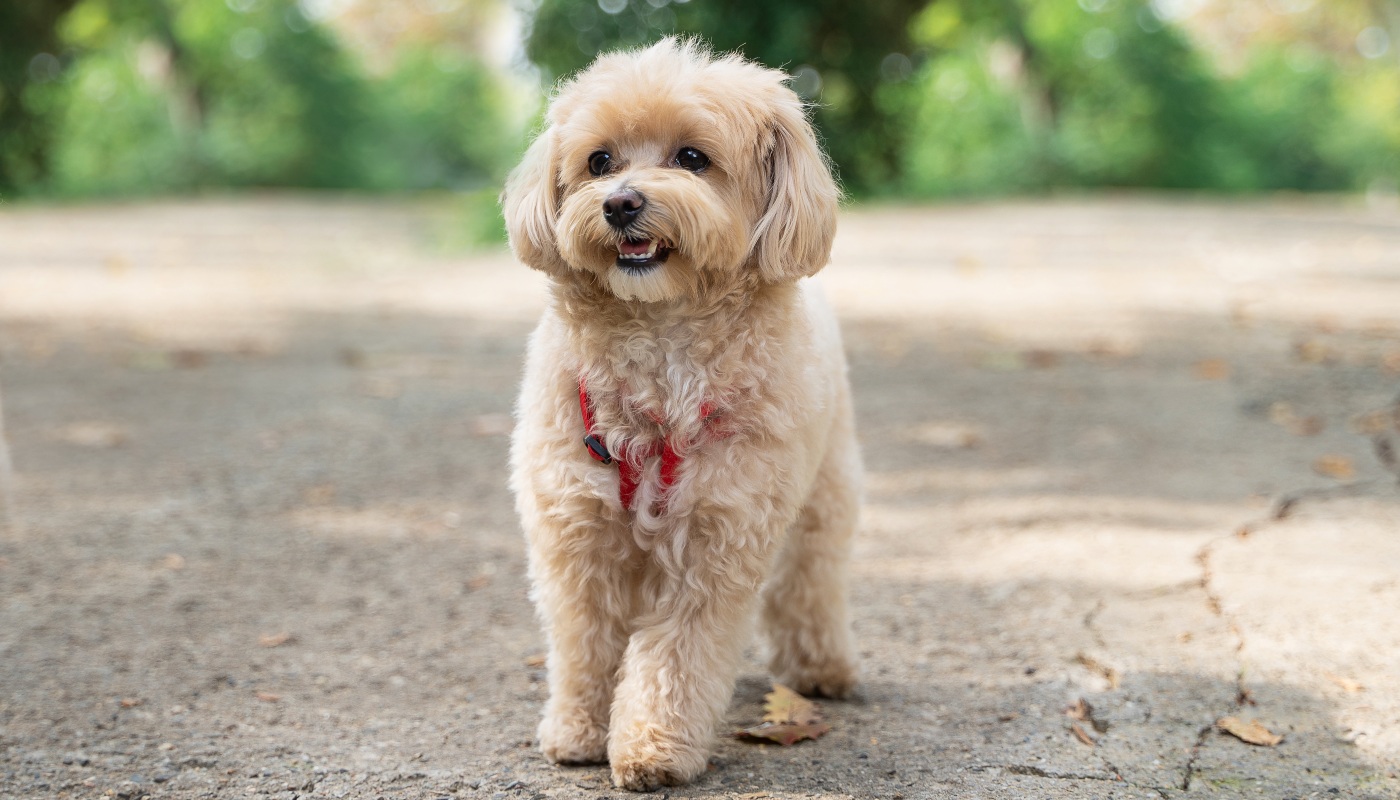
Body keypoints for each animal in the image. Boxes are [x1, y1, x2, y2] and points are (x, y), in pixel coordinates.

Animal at [498, 36, 856, 790]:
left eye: (692, 157)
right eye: (599, 161)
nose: (620, 203)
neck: (660, 341)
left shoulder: (715, 543)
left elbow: (675, 657)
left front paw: (652, 747)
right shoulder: (575, 534)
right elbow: (585, 642)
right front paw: (579, 730)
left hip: (827, 492)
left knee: (811, 580)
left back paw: (821, 668)